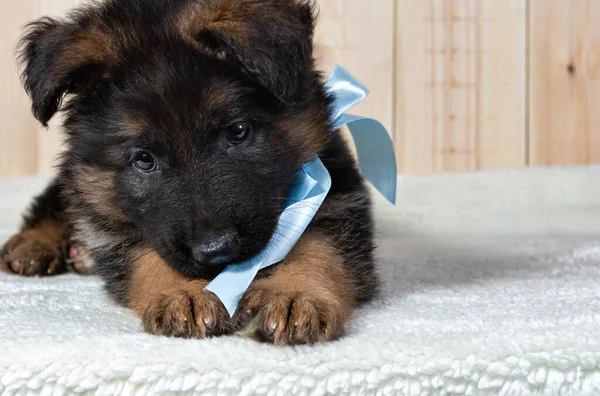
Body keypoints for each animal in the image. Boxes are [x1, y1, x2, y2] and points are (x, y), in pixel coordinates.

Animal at [1, 0, 376, 344]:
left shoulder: (336, 194)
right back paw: (34, 244)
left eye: (237, 132)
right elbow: (149, 252)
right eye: (144, 159)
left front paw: (295, 294)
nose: (217, 250)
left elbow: (318, 247)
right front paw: (187, 294)